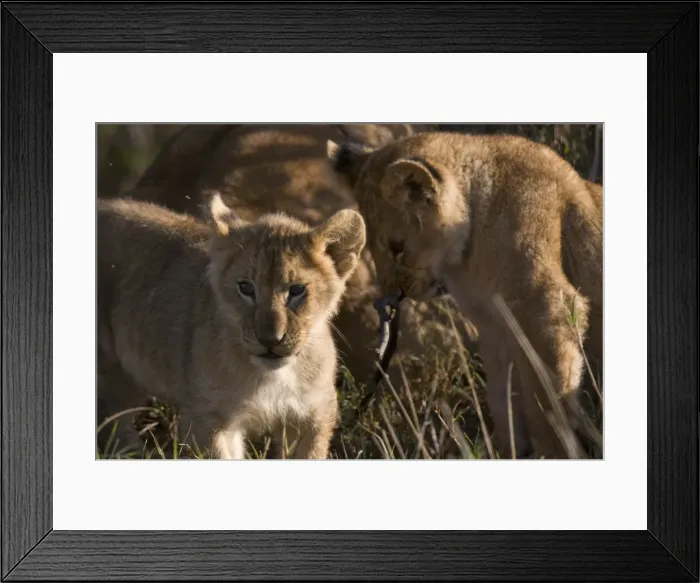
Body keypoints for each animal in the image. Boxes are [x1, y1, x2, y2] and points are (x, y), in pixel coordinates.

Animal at [97, 195, 366, 459]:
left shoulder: (313, 416)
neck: (271, 377)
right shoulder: (208, 419)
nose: (270, 340)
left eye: (297, 290)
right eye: (245, 288)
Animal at [327, 132, 603, 459]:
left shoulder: (547, 310)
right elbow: (504, 401)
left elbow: (546, 406)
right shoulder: (497, 330)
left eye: (396, 247)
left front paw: (553, 452)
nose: (392, 292)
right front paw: (509, 451)